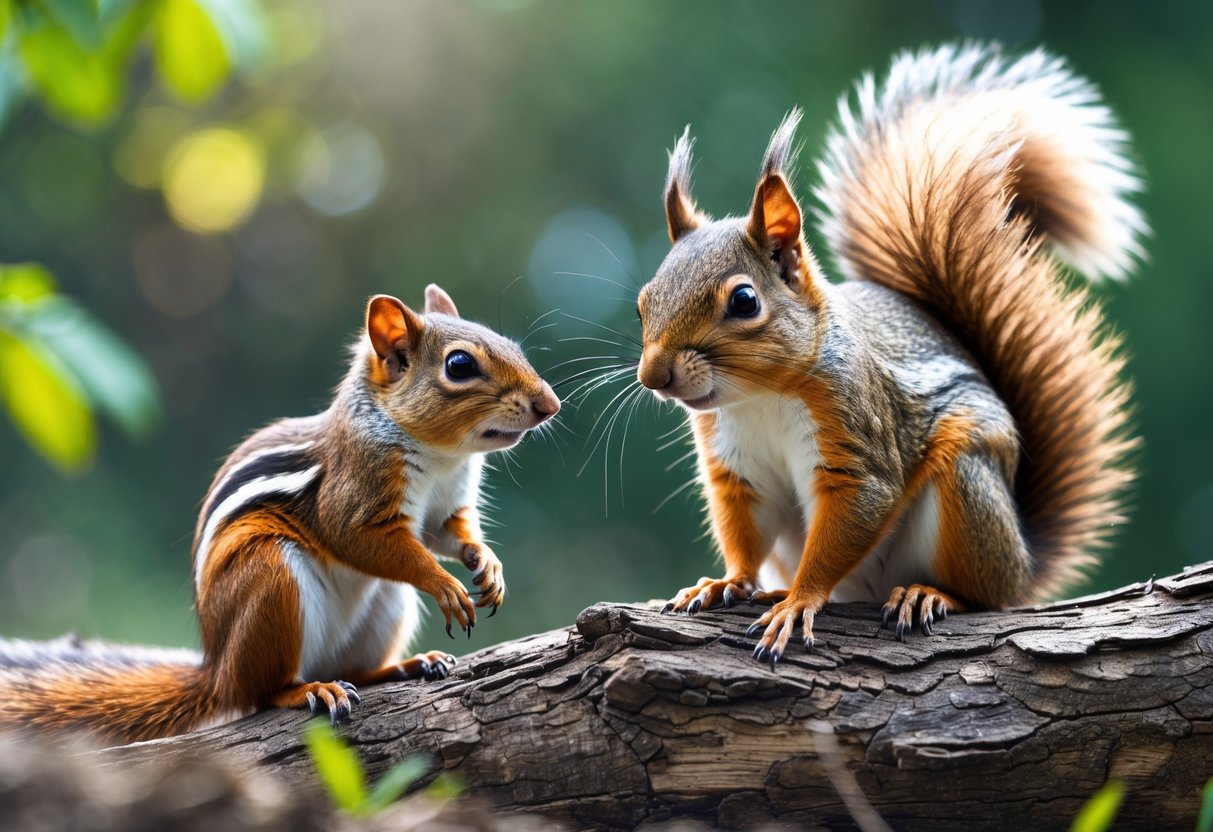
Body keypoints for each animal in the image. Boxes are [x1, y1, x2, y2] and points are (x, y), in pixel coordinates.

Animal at [0, 284, 560, 743]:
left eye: (510, 344)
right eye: (459, 365)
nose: (550, 405)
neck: (446, 455)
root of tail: (216, 671)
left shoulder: (444, 508)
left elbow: (449, 535)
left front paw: (487, 565)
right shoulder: (354, 491)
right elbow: (360, 538)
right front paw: (444, 583)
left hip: (386, 606)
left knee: (355, 668)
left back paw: (404, 666)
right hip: (270, 578)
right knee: (262, 691)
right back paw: (310, 690)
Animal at [638, 44, 1144, 666]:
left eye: (744, 301)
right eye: (644, 302)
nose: (653, 376)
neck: (759, 398)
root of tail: (1023, 563)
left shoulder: (859, 436)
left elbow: (854, 515)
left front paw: (798, 603)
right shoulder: (737, 467)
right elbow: (745, 533)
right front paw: (727, 583)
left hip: (967, 489)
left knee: (981, 594)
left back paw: (927, 594)